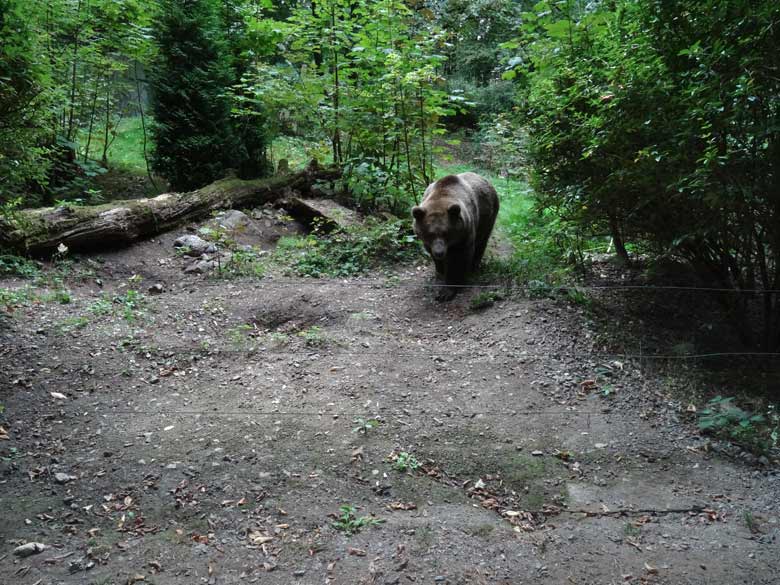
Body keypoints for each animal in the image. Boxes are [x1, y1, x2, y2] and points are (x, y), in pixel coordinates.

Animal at [412, 171, 496, 302]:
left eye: (446, 232)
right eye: (430, 234)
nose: (439, 252)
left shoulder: (464, 235)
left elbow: (459, 260)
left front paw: (448, 291)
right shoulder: (429, 243)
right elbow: (436, 259)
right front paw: (440, 273)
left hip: (488, 217)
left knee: (482, 242)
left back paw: (474, 267)